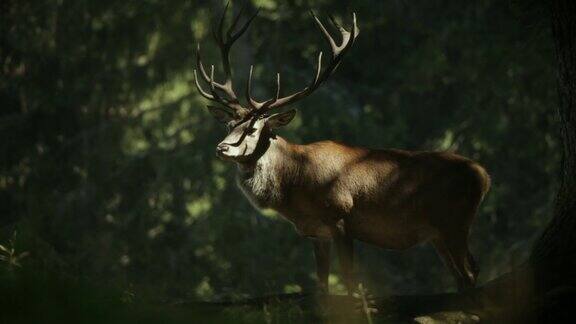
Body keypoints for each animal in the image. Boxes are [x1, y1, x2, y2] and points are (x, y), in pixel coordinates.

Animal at [194, 3, 490, 296]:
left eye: (253, 129)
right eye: (229, 124)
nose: (221, 147)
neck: (296, 185)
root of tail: (484, 176)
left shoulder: (340, 217)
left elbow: (350, 280)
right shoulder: (316, 233)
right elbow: (322, 285)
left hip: (455, 221)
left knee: (470, 271)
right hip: (437, 233)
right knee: (463, 275)